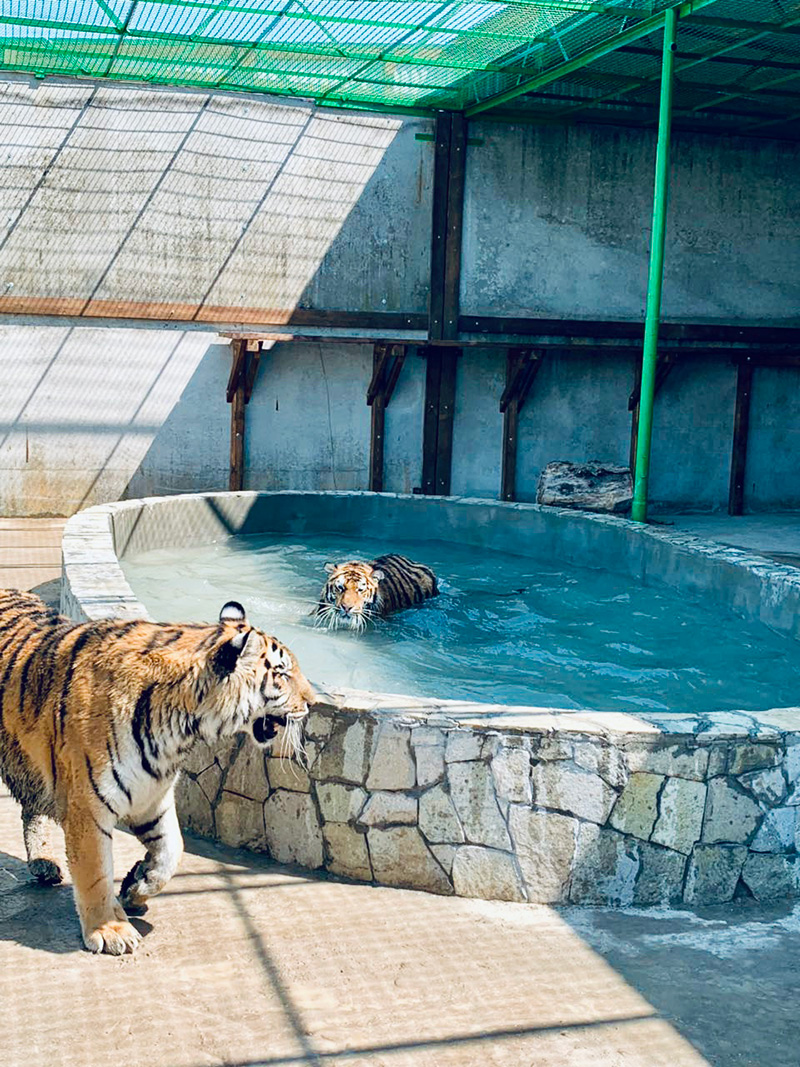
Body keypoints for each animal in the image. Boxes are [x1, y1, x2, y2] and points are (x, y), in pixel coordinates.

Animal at [0, 593, 315, 960]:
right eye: (282, 673)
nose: (313, 702)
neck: (183, 727)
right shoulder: (87, 807)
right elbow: (95, 872)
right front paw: (109, 929)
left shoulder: (152, 796)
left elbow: (172, 851)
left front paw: (137, 885)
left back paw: (44, 861)